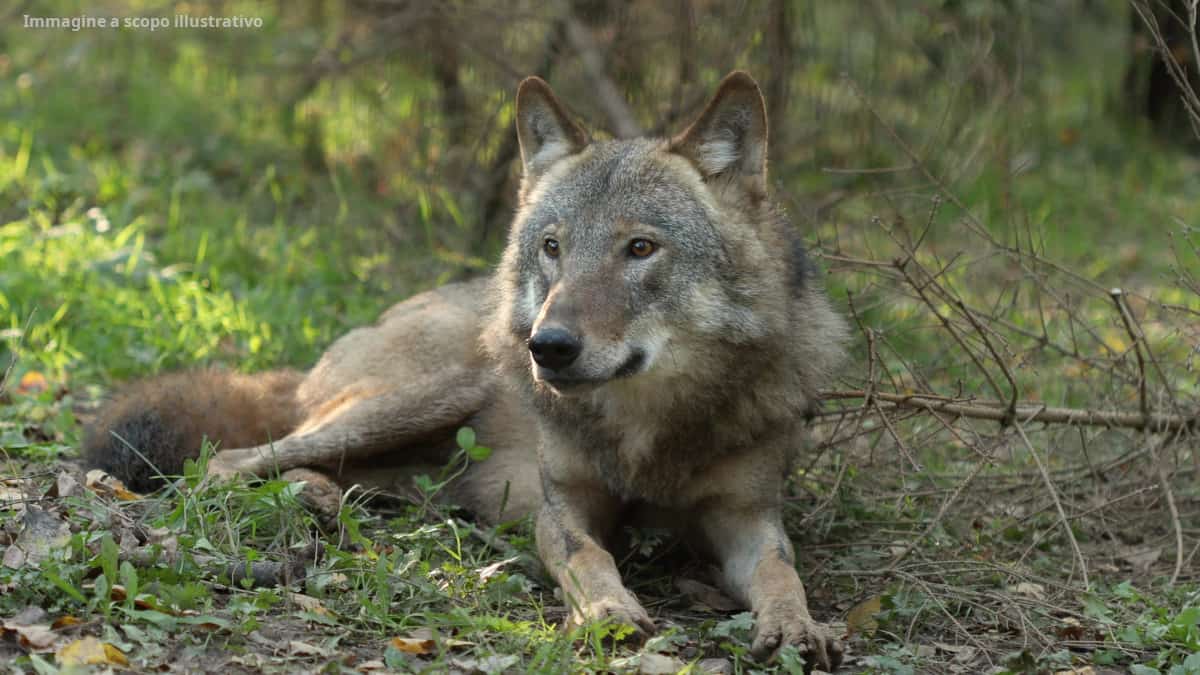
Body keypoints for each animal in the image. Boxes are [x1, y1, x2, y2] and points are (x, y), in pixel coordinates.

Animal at [84, 69, 849, 667]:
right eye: (552, 247)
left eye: (640, 248)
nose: (549, 345)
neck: (648, 434)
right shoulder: (561, 506)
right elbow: (589, 557)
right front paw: (608, 612)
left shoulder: (747, 517)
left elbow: (782, 574)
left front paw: (798, 627)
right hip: (429, 396)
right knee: (232, 459)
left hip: (425, 465)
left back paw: (320, 499)